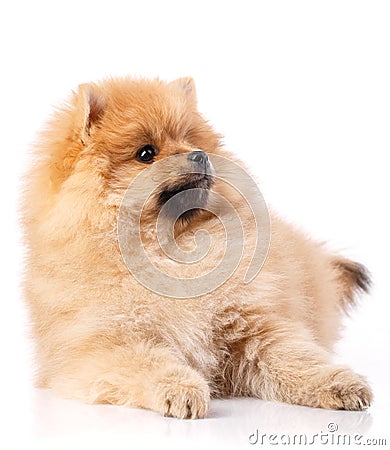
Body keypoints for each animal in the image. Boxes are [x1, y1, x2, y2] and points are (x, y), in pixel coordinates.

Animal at [21, 76, 372, 418]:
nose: (199, 155)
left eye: (192, 141)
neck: (171, 249)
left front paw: (337, 384)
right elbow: (147, 363)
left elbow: (294, 357)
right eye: (146, 153)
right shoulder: (104, 345)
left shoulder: (249, 326)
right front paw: (180, 389)